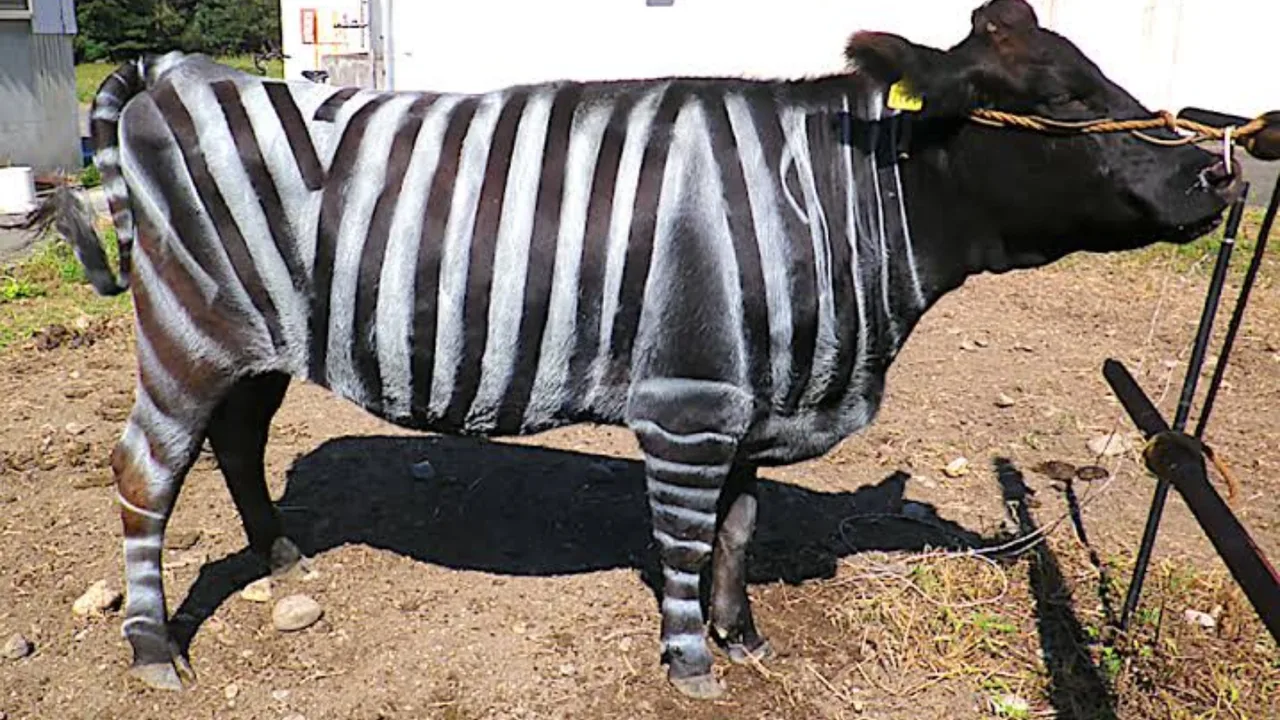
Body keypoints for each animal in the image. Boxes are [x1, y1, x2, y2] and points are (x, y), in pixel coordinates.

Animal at [40, 0, 1236, 699]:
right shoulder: (690, 404)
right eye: (1057, 99)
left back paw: (285, 557)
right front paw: (692, 663)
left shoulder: (755, 398)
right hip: (187, 331)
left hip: (255, 340)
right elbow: (684, 539)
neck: (829, 206)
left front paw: (744, 638)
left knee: (237, 442)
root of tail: (182, 71)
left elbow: (740, 531)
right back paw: (153, 650)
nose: (1220, 171)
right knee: (145, 473)